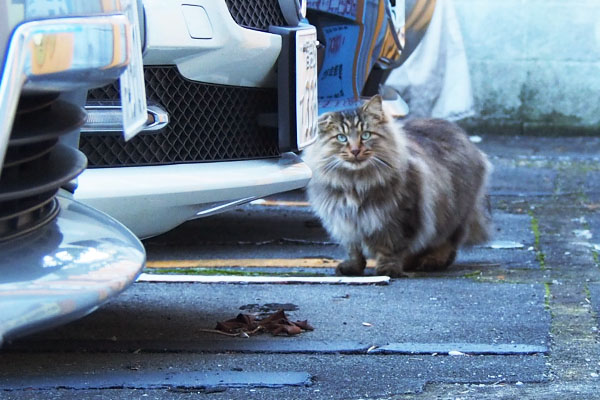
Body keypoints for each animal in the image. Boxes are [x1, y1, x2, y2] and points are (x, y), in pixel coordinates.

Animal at [304, 96, 492, 278]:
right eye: (341, 138)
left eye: (366, 135)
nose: (355, 150)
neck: (355, 183)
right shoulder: (347, 224)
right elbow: (354, 251)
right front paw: (353, 267)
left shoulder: (399, 219)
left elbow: (391, 249)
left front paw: (388, 269)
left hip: (453, 214)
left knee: (447, 243)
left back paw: (432, 261)